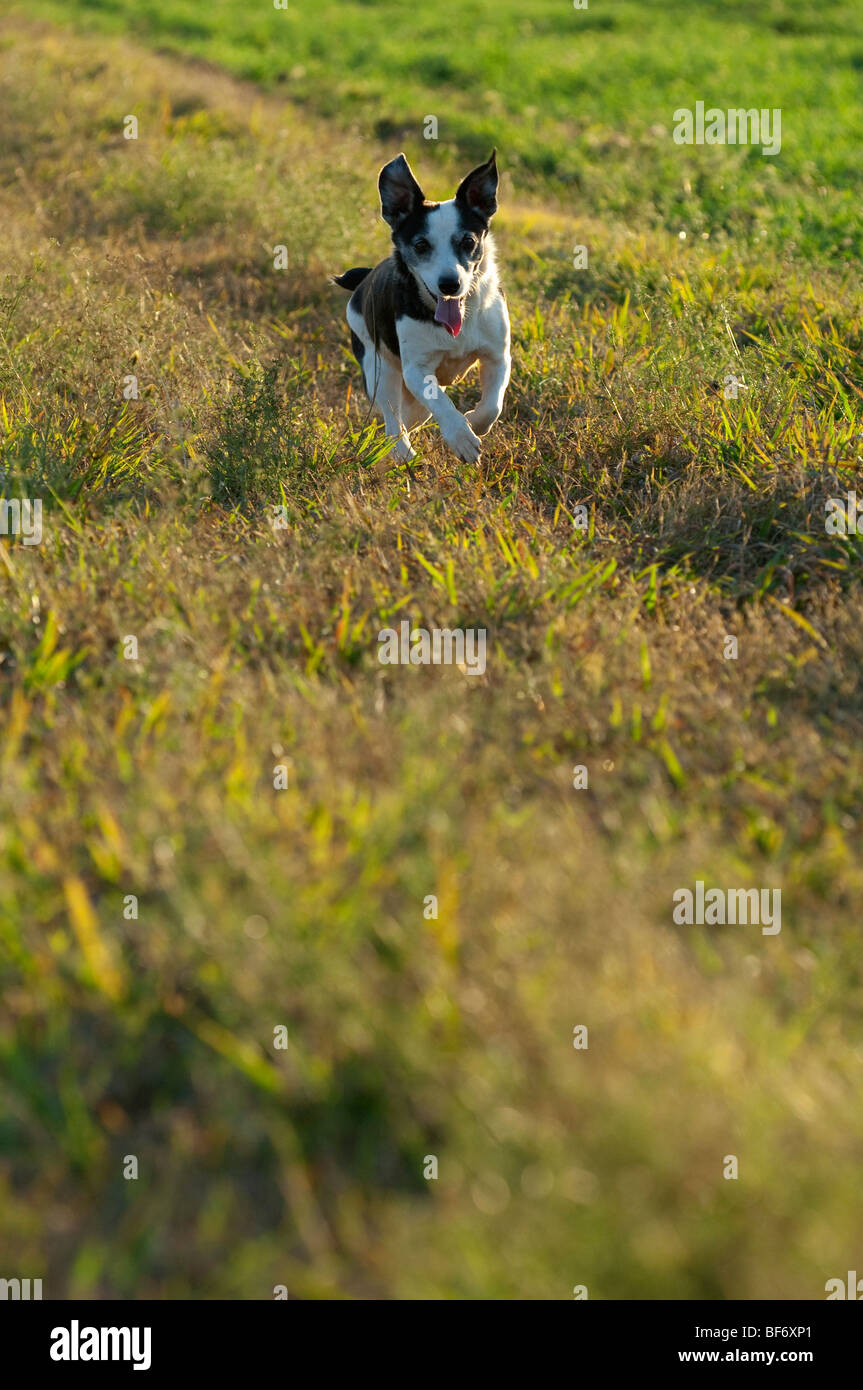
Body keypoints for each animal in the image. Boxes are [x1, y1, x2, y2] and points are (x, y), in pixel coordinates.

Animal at [329, 148, 508, 461]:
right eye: (421, 245)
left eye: (468, 241)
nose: (449, 284)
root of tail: (364, 280)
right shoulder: (416, 369)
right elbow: (442, 404)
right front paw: (461, 436)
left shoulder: (498, 356)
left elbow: (492, 406)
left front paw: (473, 422)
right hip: (378, 367)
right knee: (392, 417)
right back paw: (400, 451)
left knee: (412, 416)